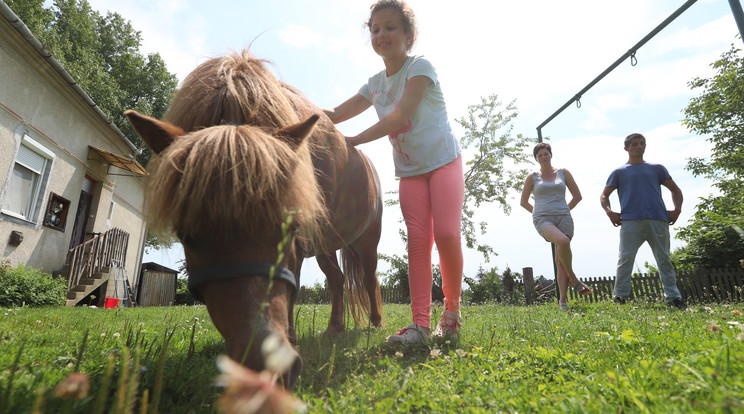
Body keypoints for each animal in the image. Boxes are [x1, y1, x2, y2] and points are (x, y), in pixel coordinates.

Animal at [125, 50, 384, 386]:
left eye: (290, 227)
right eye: (186, 235)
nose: (264, 367)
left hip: (367, 242)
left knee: (369, 278)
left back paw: (376, 323)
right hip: (326, 247)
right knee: (338, 281)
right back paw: (334, 329)